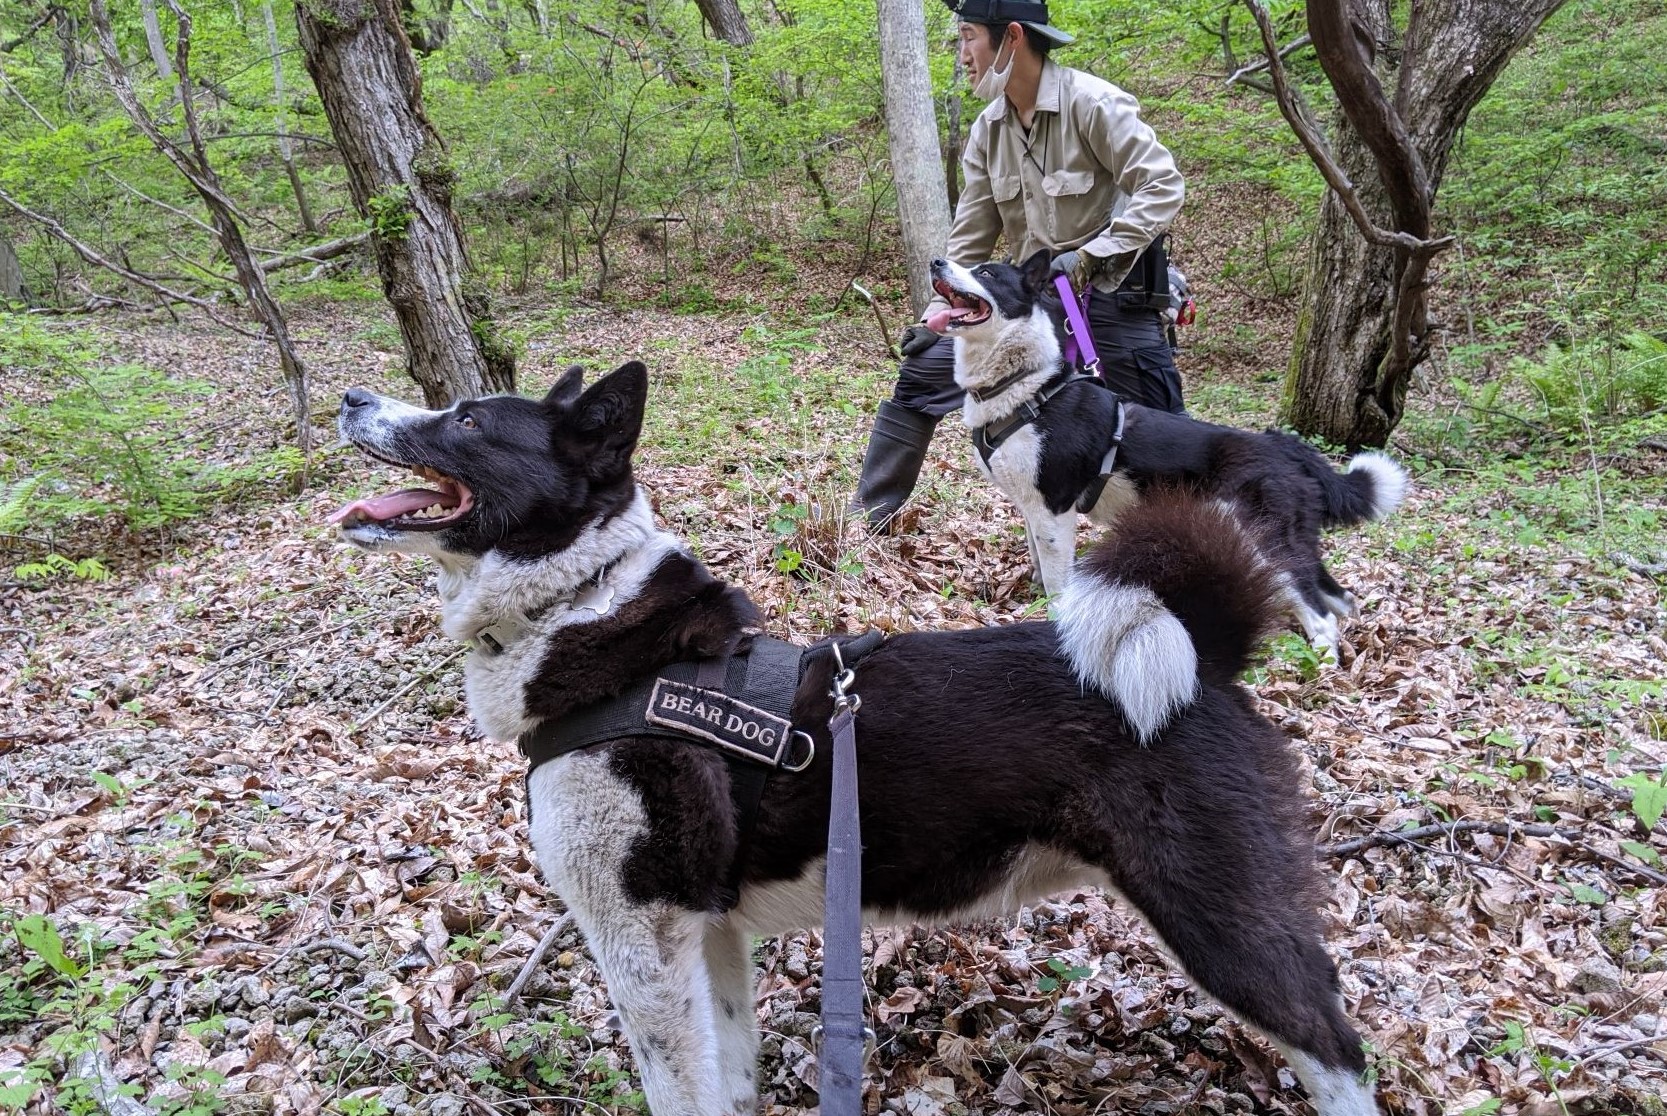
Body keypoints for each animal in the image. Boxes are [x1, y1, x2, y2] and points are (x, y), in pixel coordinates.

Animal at [328, 365, 1380, 1114]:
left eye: (467, 421)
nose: (349, 396)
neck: (587, 612)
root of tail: (1202, 645)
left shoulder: (641, 942)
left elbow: (679, 1090)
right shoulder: (708, 939)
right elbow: (730, 1085)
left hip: (1215, 914)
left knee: (1335, 1048)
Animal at [926, 251, 1406, 653]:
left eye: (987, 273)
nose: (936, 261)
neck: (1027, 387)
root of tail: (1284, 445)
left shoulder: (1054, 511)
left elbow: (1058, 583)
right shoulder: (1033, 509)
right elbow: (1041, 569)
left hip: (1260, 538)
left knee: (1321, 612)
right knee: (1339, 597)